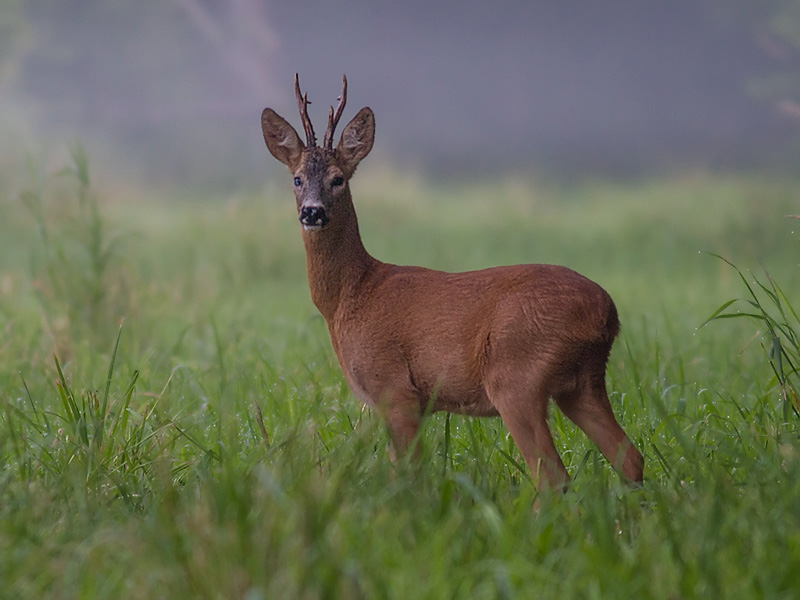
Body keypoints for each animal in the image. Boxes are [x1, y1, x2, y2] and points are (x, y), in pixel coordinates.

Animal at [262, 75, 644, 492]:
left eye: (338, 179)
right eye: (297, 179)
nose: (312, 212)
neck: (352, 295)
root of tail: (606, 312)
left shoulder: (396, 388)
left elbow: (410, 475)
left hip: (516, 374)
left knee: (552, 476)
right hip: (583, 383)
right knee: (631, 458)